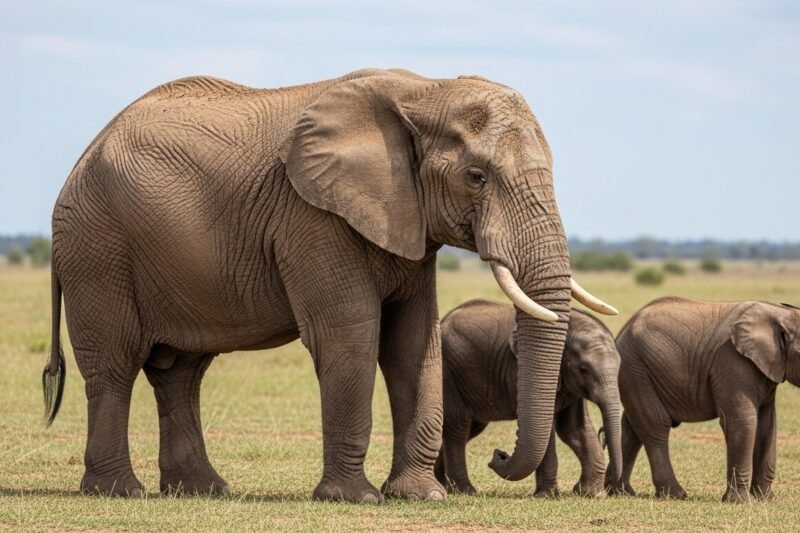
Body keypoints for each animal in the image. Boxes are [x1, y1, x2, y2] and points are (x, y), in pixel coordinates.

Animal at [435, 300, 622, 497]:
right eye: (584, 370)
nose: (499, 455)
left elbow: (574, 429)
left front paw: (591, 494)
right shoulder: (517, 369)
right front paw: (549, 496)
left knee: (471, 427)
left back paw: (443, 485)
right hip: (447, 373)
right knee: (459, 427)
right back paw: (465, 491)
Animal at [606, 296, 800, 502]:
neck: (780, 312)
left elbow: (767, 425)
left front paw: (765, 499)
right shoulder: (732, 361)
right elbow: (740, 421)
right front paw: (740, 502)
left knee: (632, 427)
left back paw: (621, 492)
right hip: (634, 368)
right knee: (655, 424)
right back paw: (675, 495)